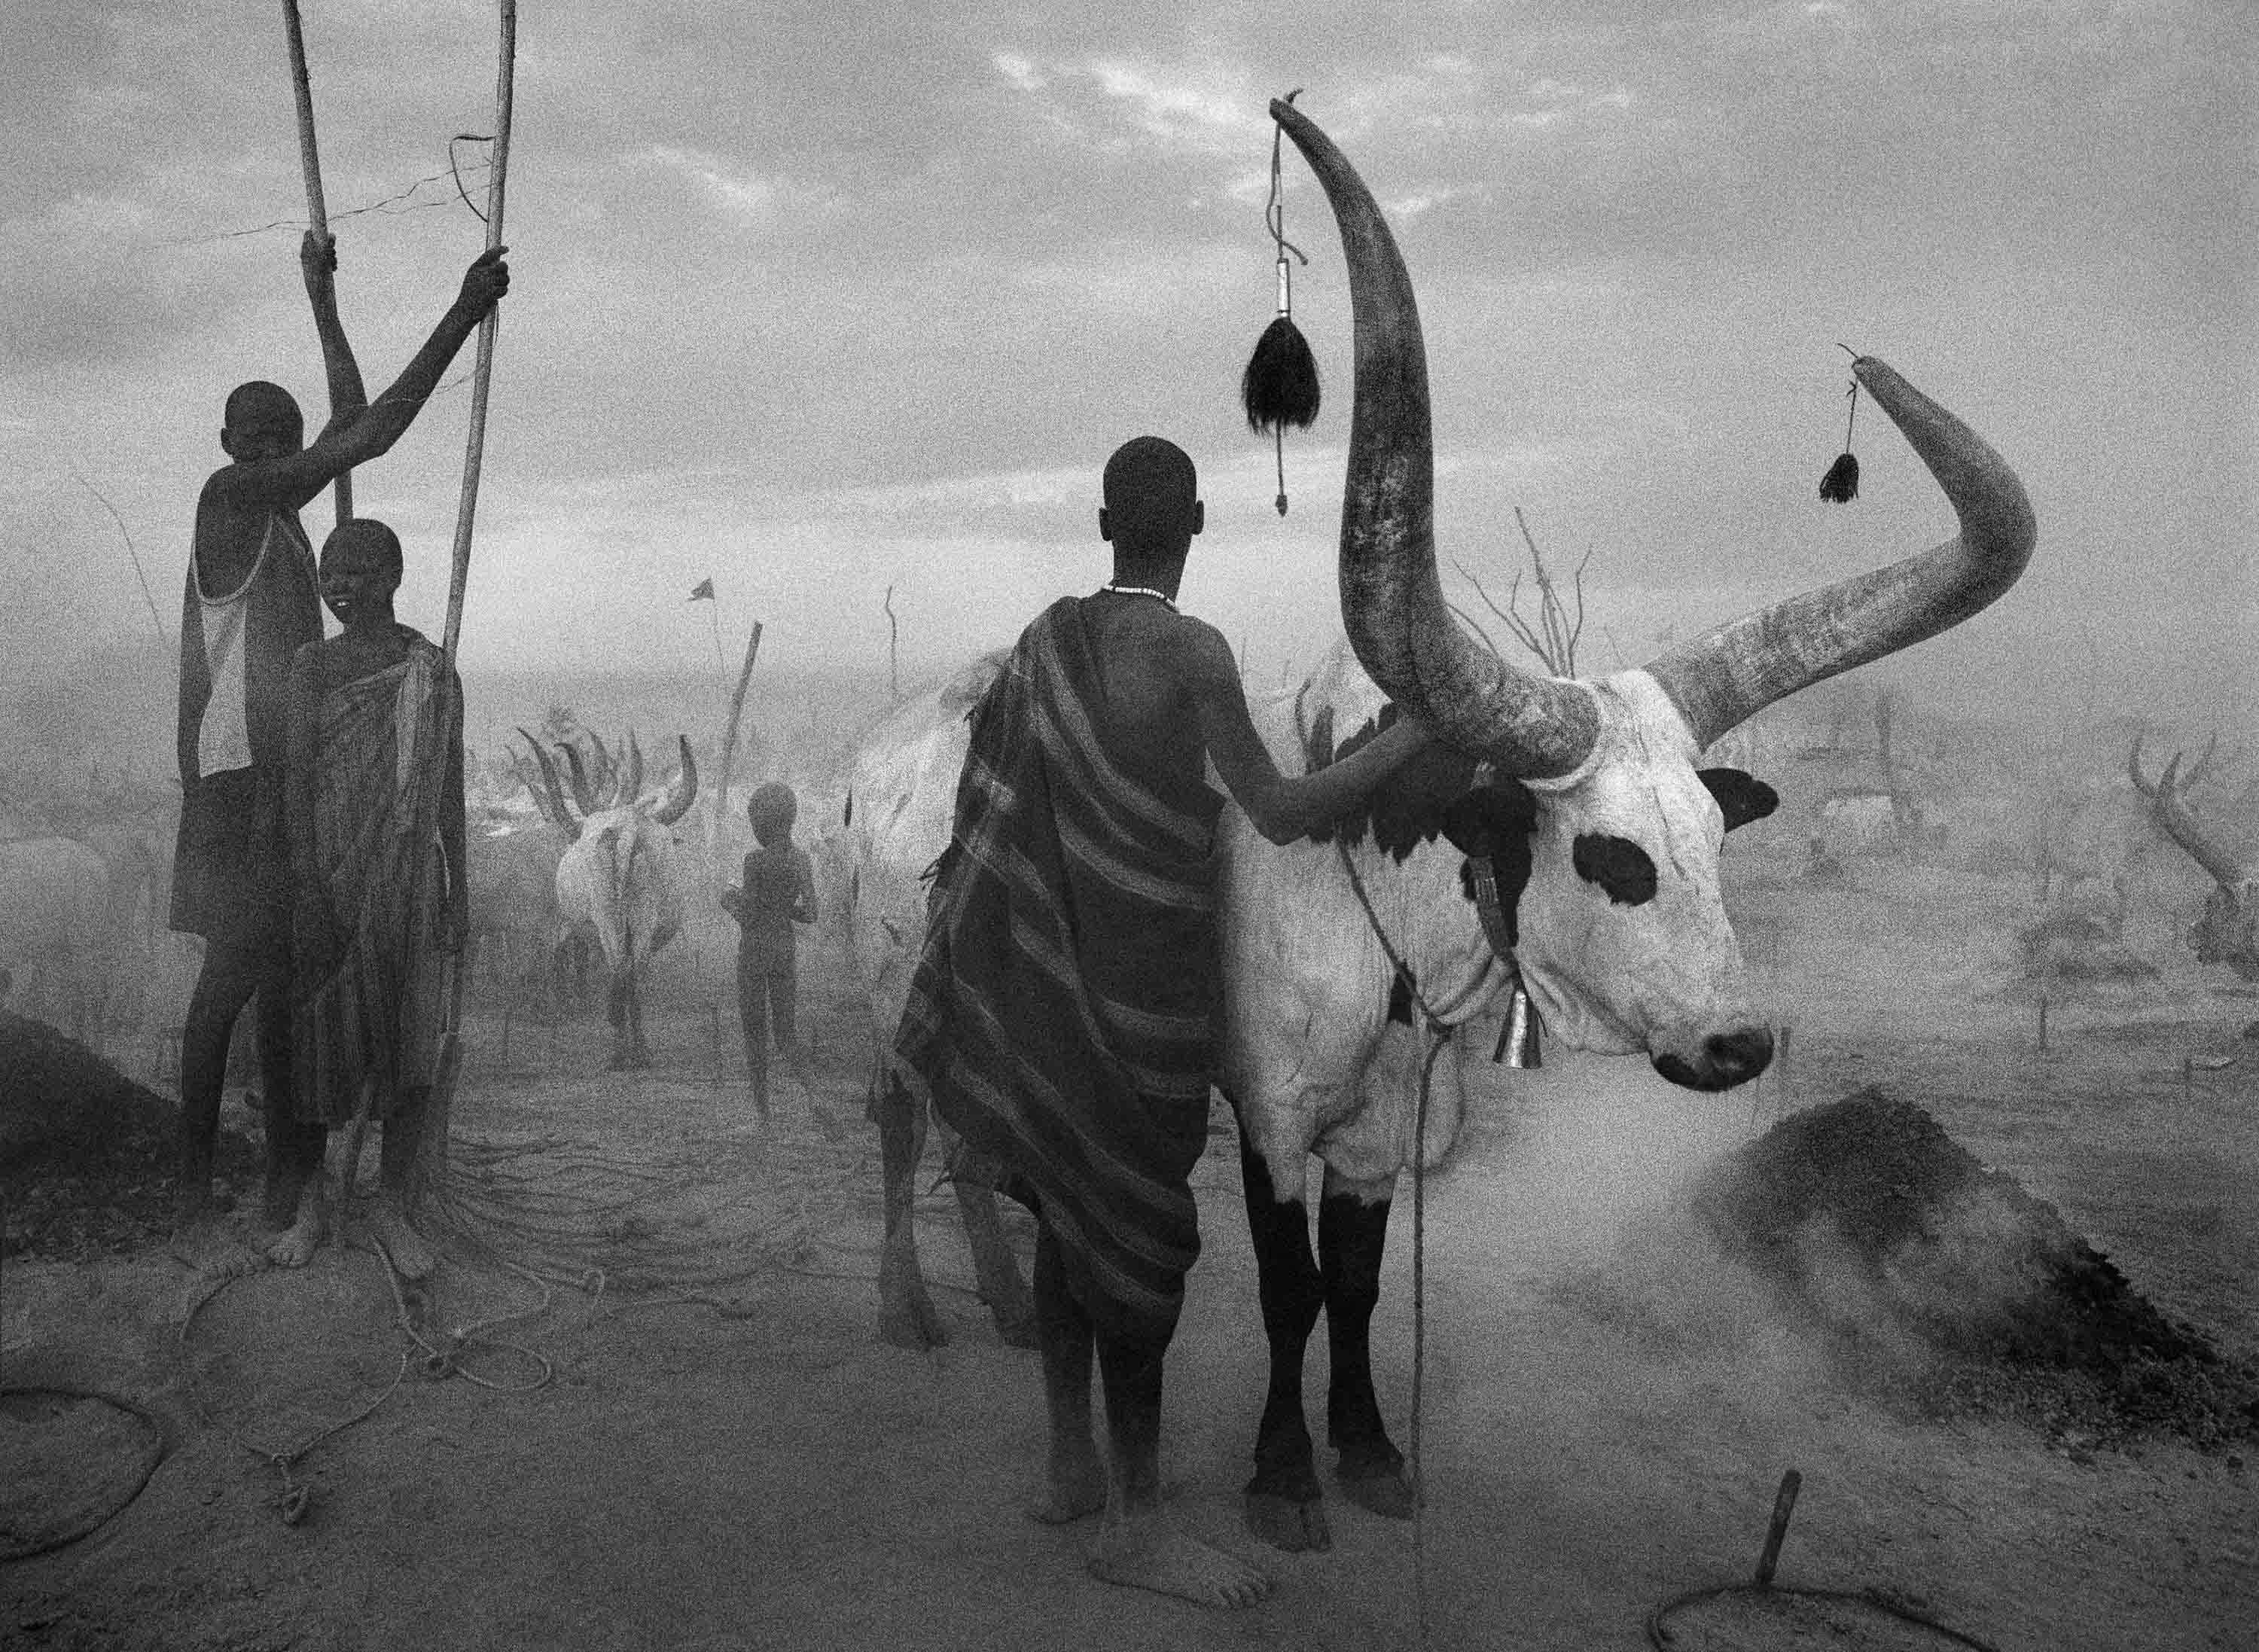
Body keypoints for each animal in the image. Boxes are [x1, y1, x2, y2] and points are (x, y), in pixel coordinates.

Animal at [520, 732, 696, 1066]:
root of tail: (627, 830)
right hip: (635, 919)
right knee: (628, 970)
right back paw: (633, 1052)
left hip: (608, 918)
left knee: (621, 969)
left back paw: (623, 1051)